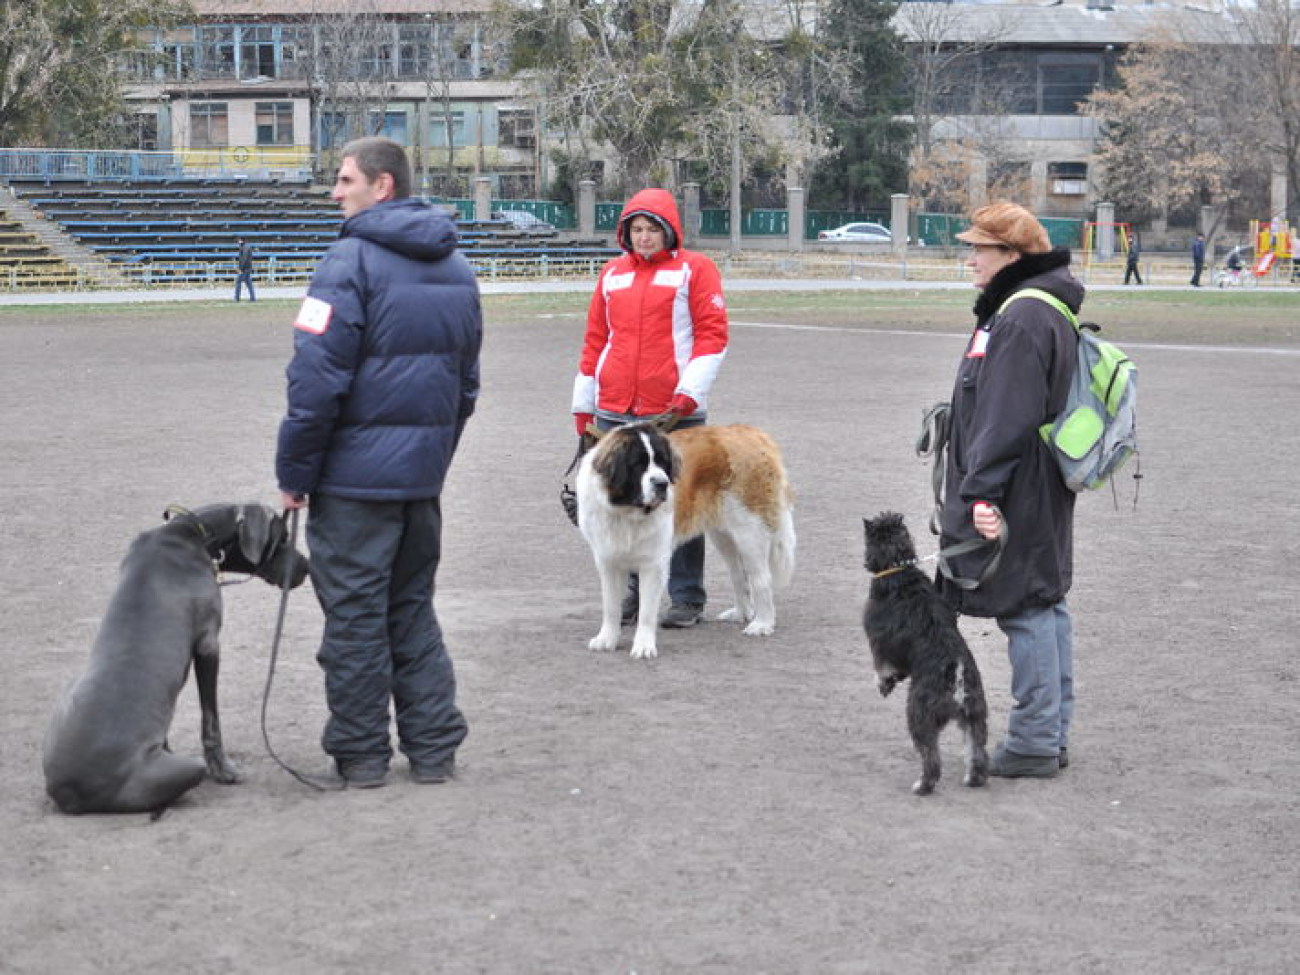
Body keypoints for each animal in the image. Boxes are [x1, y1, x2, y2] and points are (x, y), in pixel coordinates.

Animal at [863, 514, 982, 795]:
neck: (898, 569)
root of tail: (956, 676)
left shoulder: (878, 640)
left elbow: (881, 667)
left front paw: (883, 684)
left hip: (919, 714)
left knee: (930, 756)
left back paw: (923, 785)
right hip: (975, 715)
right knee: (976, 752)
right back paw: (973, 778)